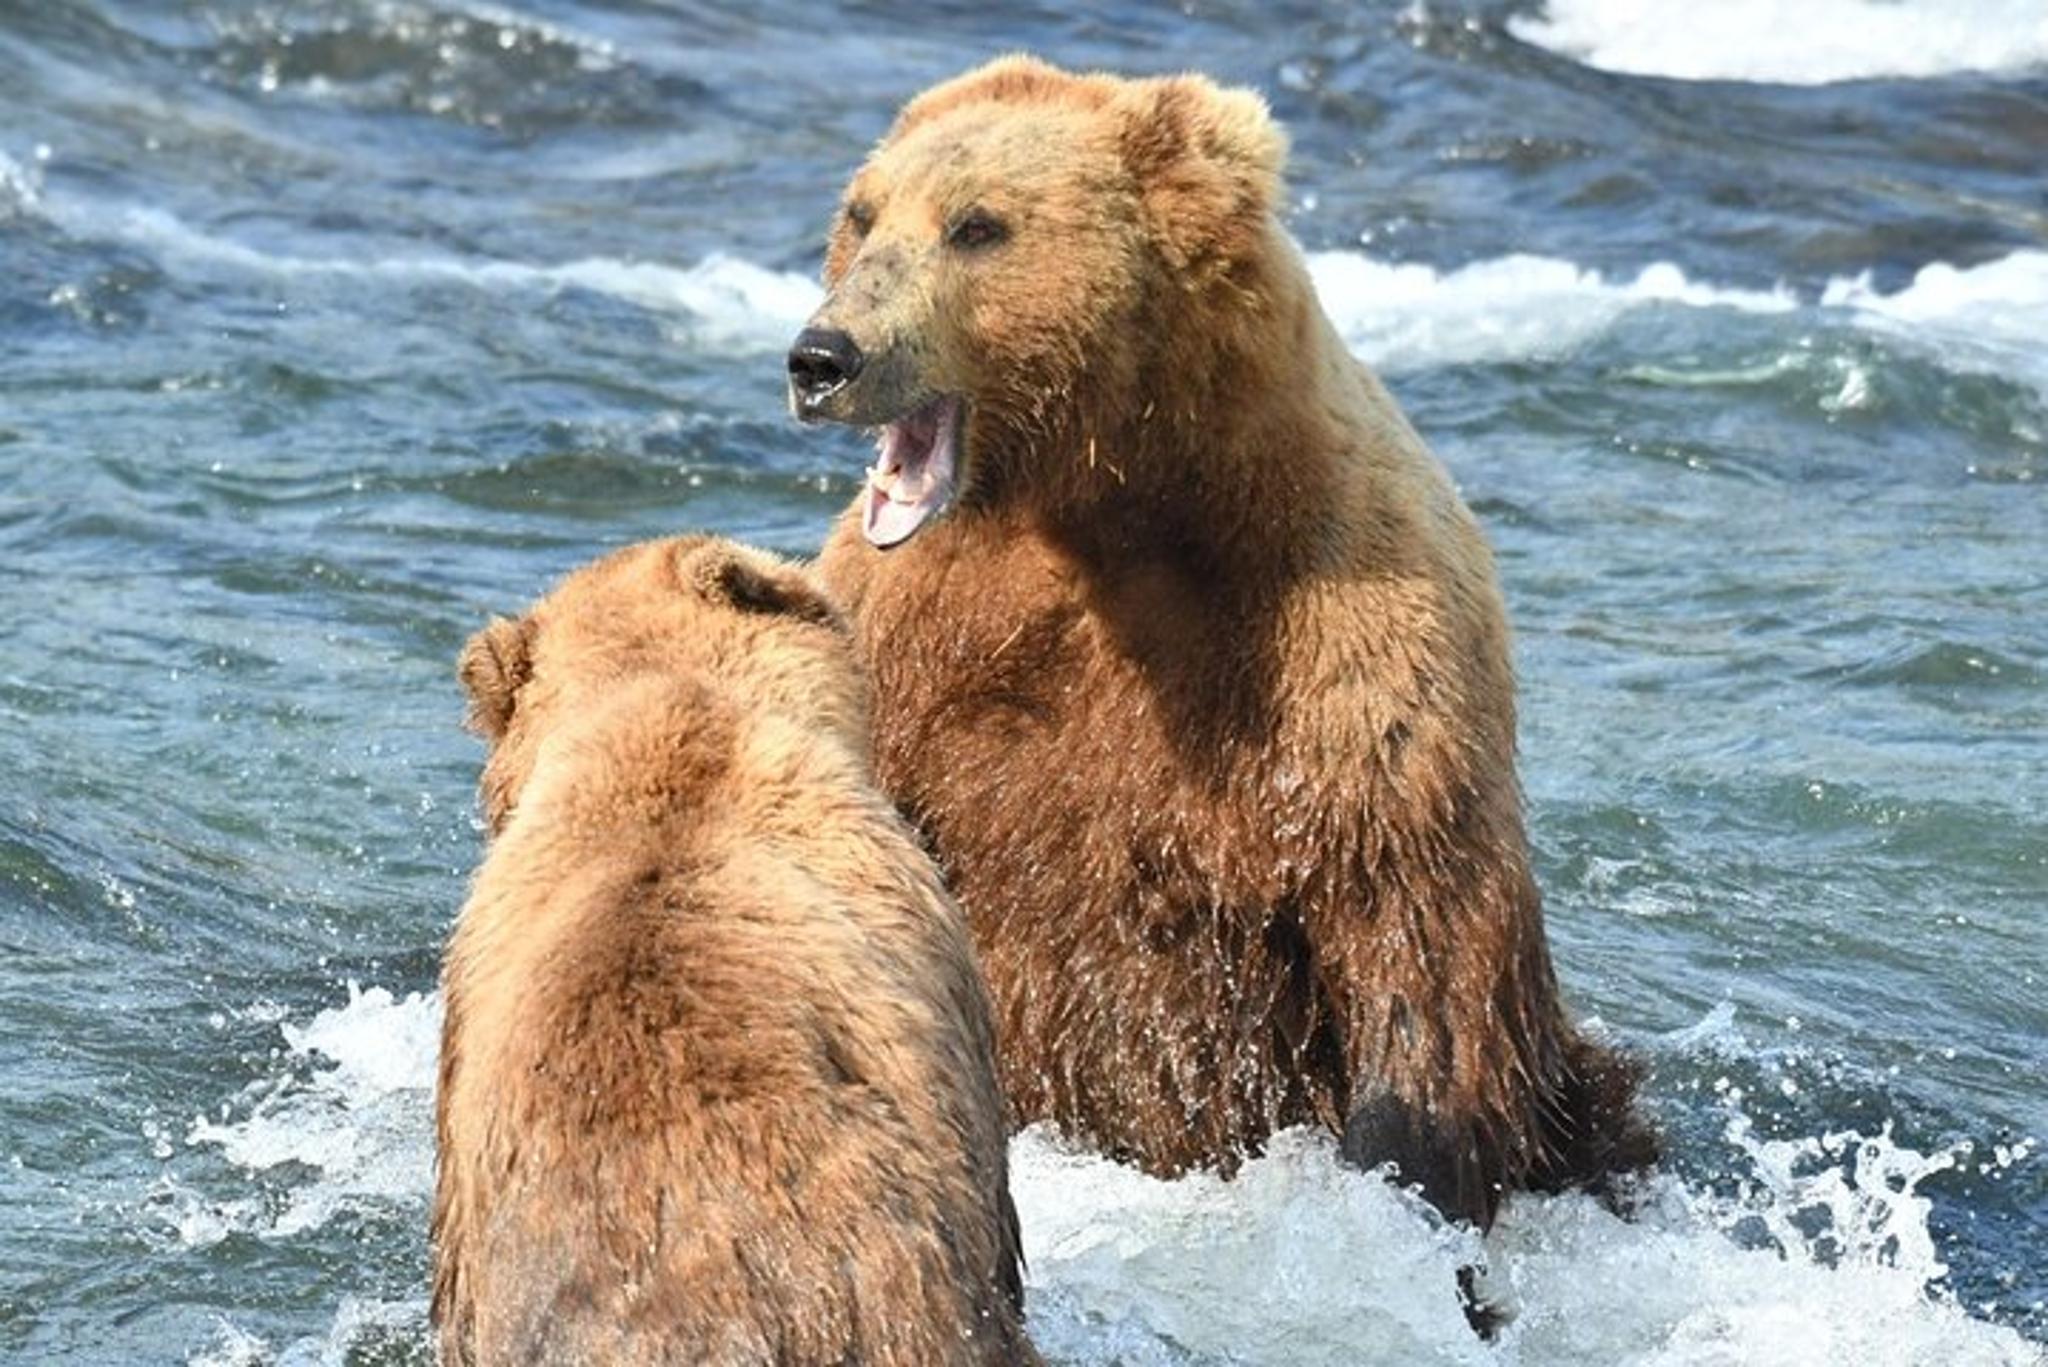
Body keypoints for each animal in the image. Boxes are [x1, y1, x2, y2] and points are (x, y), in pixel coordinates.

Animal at [787, 55, 1657, 1242]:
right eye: (862, 213)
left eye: (977, 224)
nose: (822, 356)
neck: (1120, 507)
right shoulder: (917, 635)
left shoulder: (1344, 652)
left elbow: (1409, 933)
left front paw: (1403, 1182)